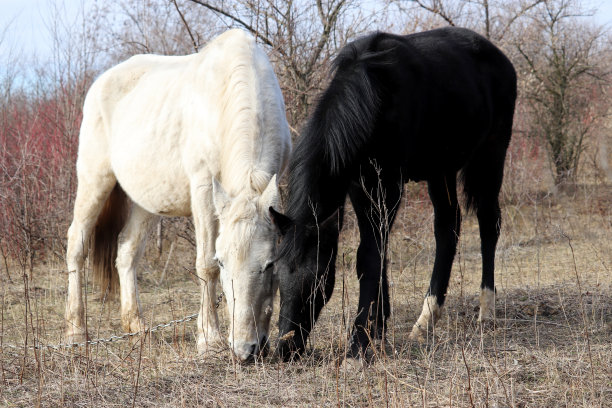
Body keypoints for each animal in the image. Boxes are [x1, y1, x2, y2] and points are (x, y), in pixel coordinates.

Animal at [64, 30, 292, 362]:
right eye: (223, 263)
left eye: (270, 264)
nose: (246, 349)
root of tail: (102, 82)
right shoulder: (203, 190)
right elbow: (204, 265)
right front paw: (209, 339)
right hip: (94, 180)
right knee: (77, 245)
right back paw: (76, 332)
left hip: (146, 201)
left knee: (126, 251)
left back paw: (137, 328)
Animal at [270, 27, 512, 358]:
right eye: (277, 274)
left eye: (319, 279)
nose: (286, 347)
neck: (374, 97)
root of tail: (501, 58)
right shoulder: (360, 187)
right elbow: (376, 252)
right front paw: (377, 329)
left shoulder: (390, 186)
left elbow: (370, 255)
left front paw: (359, 343)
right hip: (442, 170)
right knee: (447, 229)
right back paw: (425, 321)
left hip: (490, 157)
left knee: (489, 224)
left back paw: (487, 310)